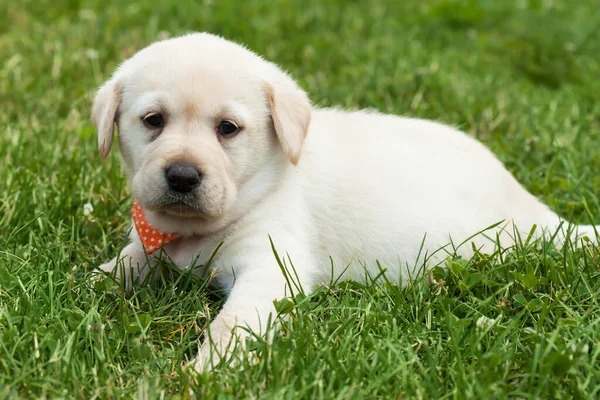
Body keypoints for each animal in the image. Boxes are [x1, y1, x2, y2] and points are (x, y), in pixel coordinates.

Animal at [91, 32, 596, 370]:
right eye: (153, 120)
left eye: (228, 129)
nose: (181, 176)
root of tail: (531, 208)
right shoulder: (147, 247)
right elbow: (114, 269)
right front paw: (87, 284)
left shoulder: (270, 268)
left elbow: (230, 327)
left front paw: (204, 373)